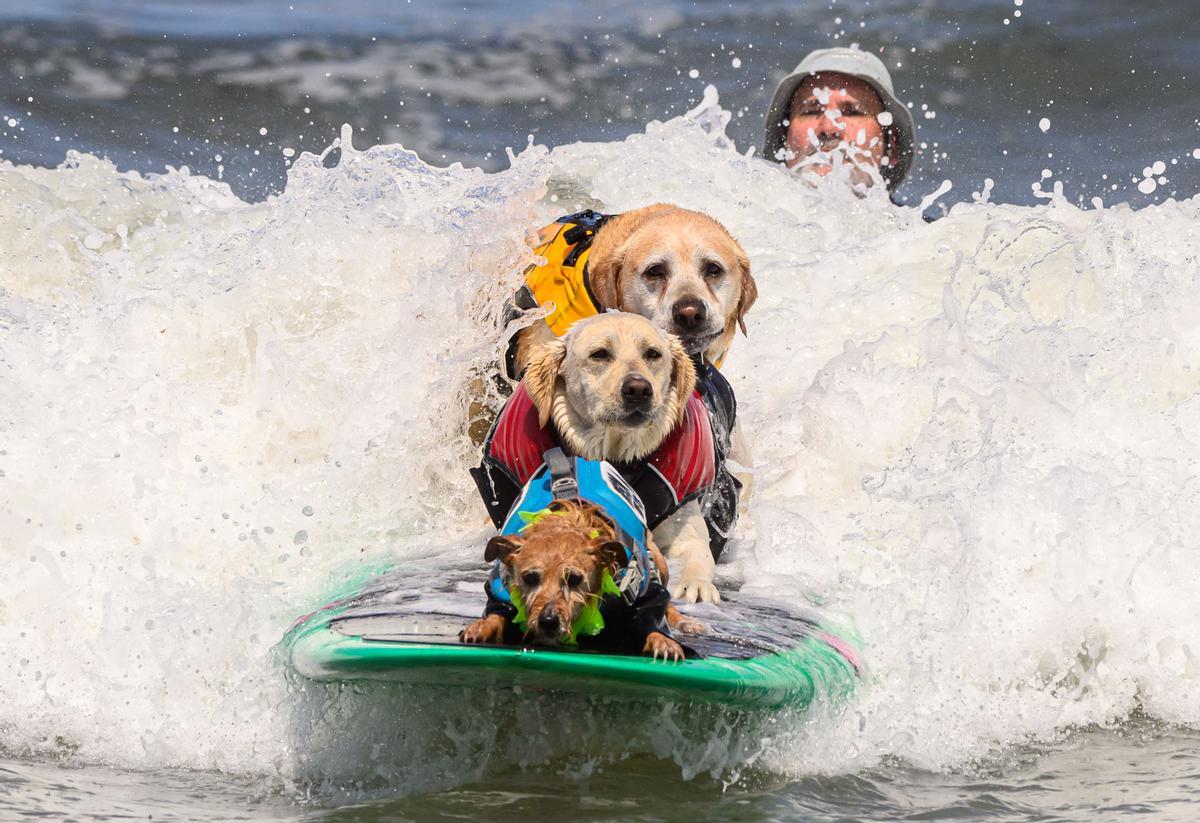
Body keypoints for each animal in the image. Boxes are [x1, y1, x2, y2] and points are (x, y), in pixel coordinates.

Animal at [460, 496, 700, 662]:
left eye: (574, 579)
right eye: (529, 578)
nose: (548, 621)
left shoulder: (641, 592)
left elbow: (652, 618)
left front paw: (663, 641)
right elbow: (496, 614)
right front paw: (482, 626)